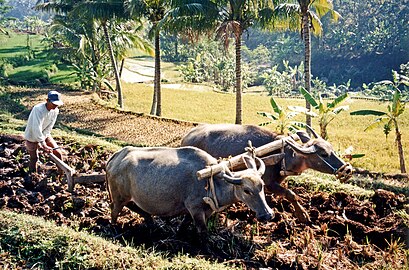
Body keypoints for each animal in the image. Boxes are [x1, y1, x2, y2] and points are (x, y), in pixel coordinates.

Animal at [105, 146, 272, 232]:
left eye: (262, 186)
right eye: (247, 191)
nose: (268, 215)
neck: (212, 182)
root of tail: (116, 156)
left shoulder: (197, 211)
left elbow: (185, 225)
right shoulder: (195, 209)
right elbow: (202, 232)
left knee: (136, 208)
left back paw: (150, 222)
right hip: (119, 197)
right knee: (114, 210)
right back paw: (113, 228)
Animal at [180, 123, 352, 223]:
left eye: (331, 148)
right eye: (323, 154)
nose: (348, 169)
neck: (283, 155)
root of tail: (186, 137)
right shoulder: (270, 184)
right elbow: (290, 194)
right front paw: (303, 215)